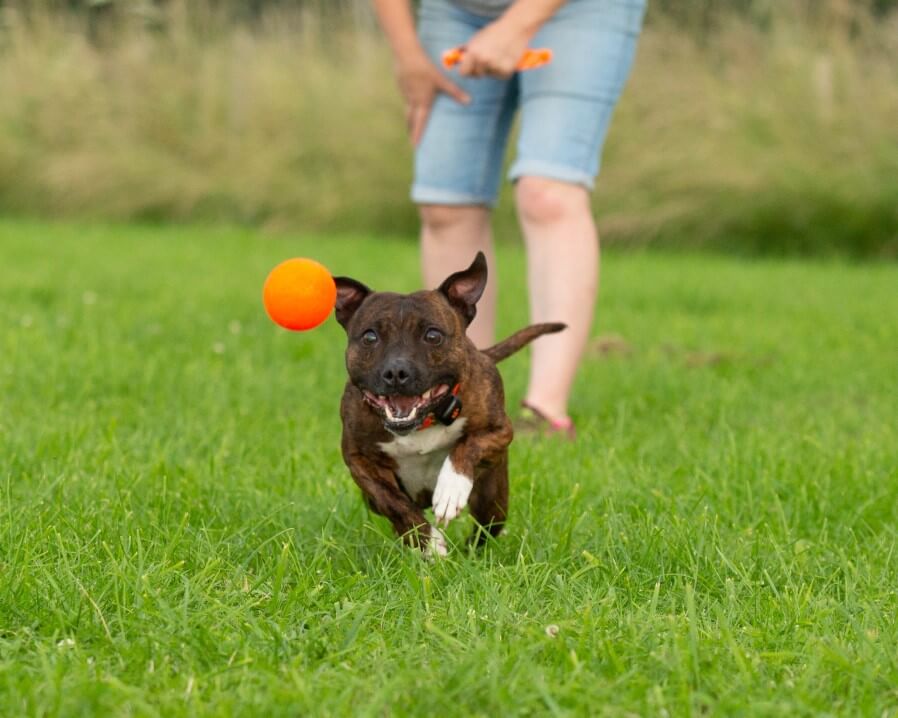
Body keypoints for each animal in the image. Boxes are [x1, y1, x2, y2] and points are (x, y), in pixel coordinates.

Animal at [332, 253, 564, 556]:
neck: (422, 423)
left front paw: (452, 488)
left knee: (486, 529)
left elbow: (468, 446)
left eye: (433, 335)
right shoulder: (359, 460)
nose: (396, 372)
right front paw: (429, 543)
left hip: (493, 497)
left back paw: (471, 553)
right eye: (370, 336)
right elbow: (393, 503)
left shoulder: (499, 431)